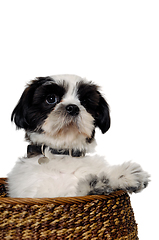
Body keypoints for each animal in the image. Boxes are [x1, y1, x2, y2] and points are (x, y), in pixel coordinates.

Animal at [7, 74, 150, 197]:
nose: (73, 107)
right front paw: (97, 184)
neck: (63, 153)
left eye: (85, 101)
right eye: (51, 99)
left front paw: (122, 175)